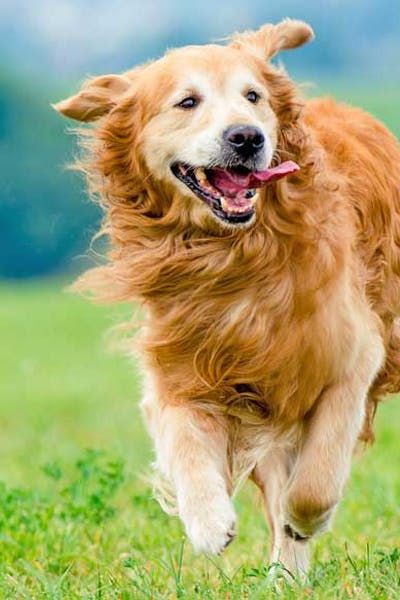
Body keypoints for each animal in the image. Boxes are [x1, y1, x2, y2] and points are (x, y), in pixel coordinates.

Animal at [54, 19, 400, 576]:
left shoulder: (352, 355)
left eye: (252, 96)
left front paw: (305, 518)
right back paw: (285, 576)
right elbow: (185, 442)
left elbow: (315, 478)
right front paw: (208, 520)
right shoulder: (180, 366)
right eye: (187, 101)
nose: (247, 136)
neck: (233, 256)